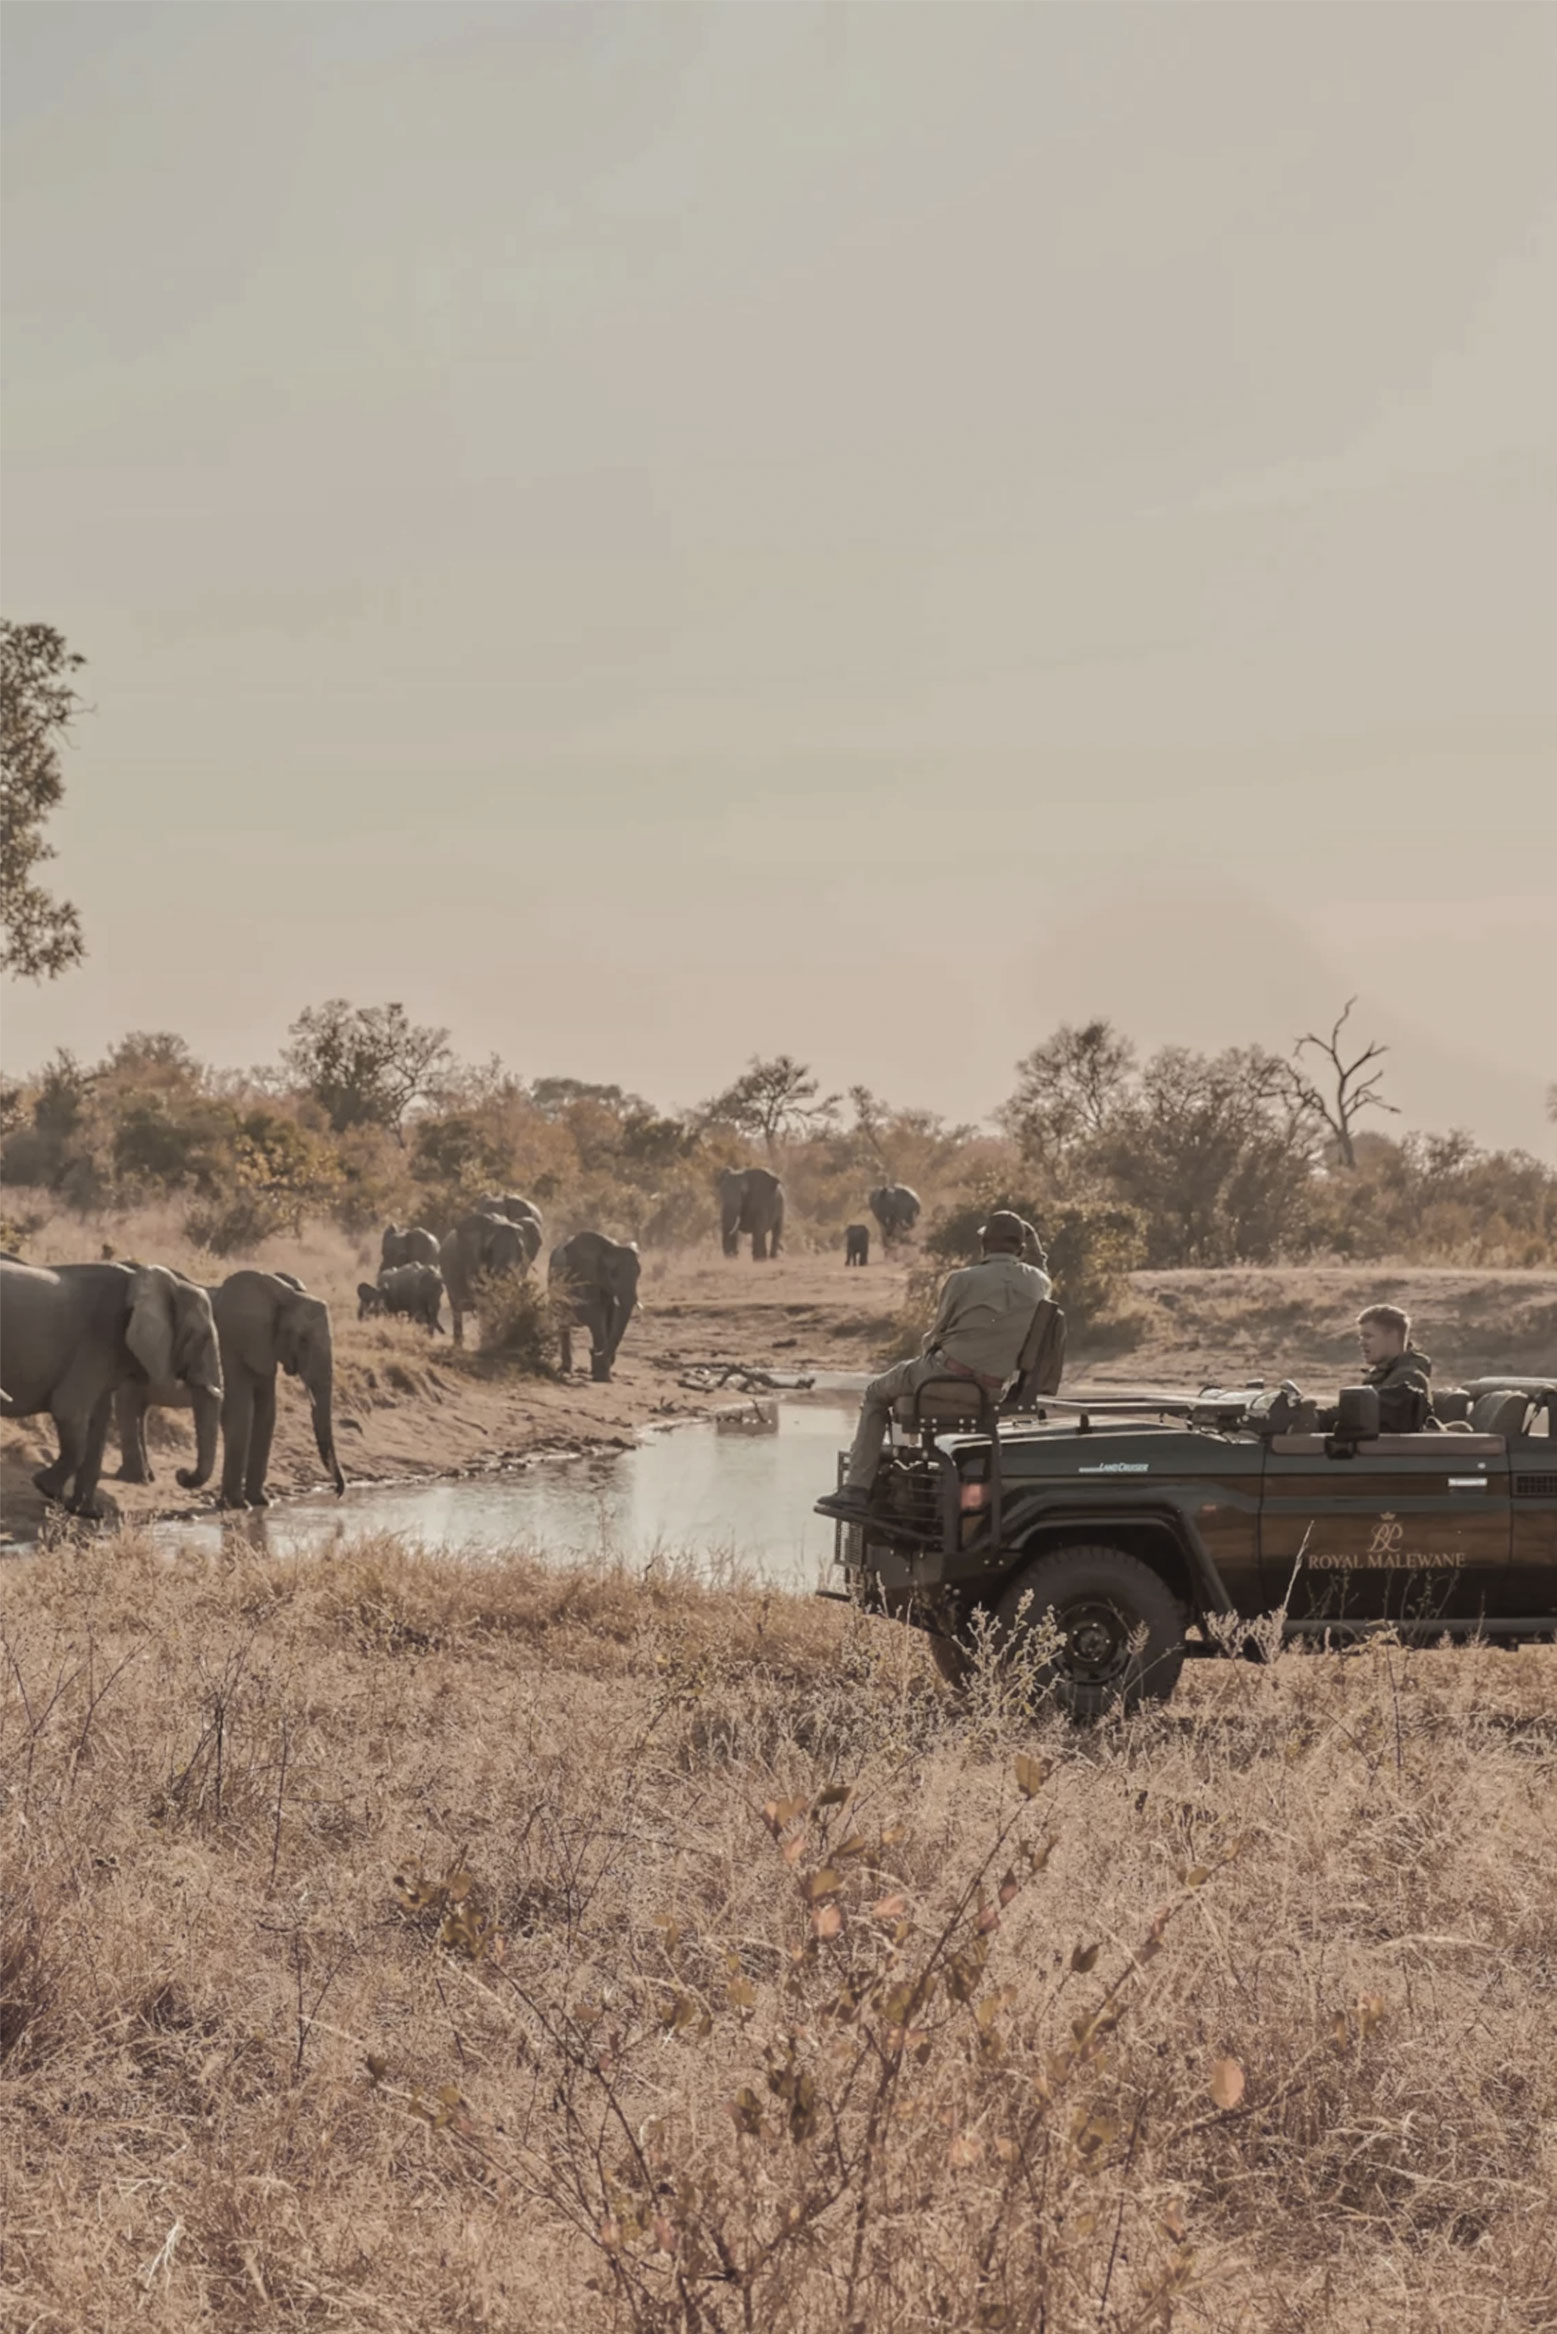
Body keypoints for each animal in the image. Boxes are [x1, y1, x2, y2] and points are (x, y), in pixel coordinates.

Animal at [1, 1259, 223, 1518]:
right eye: (202, 1337)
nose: (181, 1474)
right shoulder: (98, 1338)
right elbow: (69, 1410)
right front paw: (47, 1489)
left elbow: (99, 1422)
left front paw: (88, 1513)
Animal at [115, 1269, 345, 1510]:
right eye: (303, 1340)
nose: (338, 1492)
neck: (285, 1295)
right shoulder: (233, 1348)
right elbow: (241, 1414)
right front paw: (238, 1505)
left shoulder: (264, 1351)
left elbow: (266, 1415)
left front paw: (262, 1502)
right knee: (128, 1404)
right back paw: (137, 1478)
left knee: (139, 1409)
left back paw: (146, 1476)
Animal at [440, 1210, 529, 1346]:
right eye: (489, 1250)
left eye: (520, 1250)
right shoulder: (472, 1261)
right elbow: (485, 1303)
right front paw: (487, 1345)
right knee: (456, 1309)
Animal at [549, 1232, 640, 1382]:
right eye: (613, 1274)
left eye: (638, 1274)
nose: (592, 1351)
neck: (610, 1248)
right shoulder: (583, 1274)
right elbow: (594, 1316)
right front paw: (601, 1375)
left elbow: (611, 1320)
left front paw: (601, 1371)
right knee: (564, 1324)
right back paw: (566, 1370)